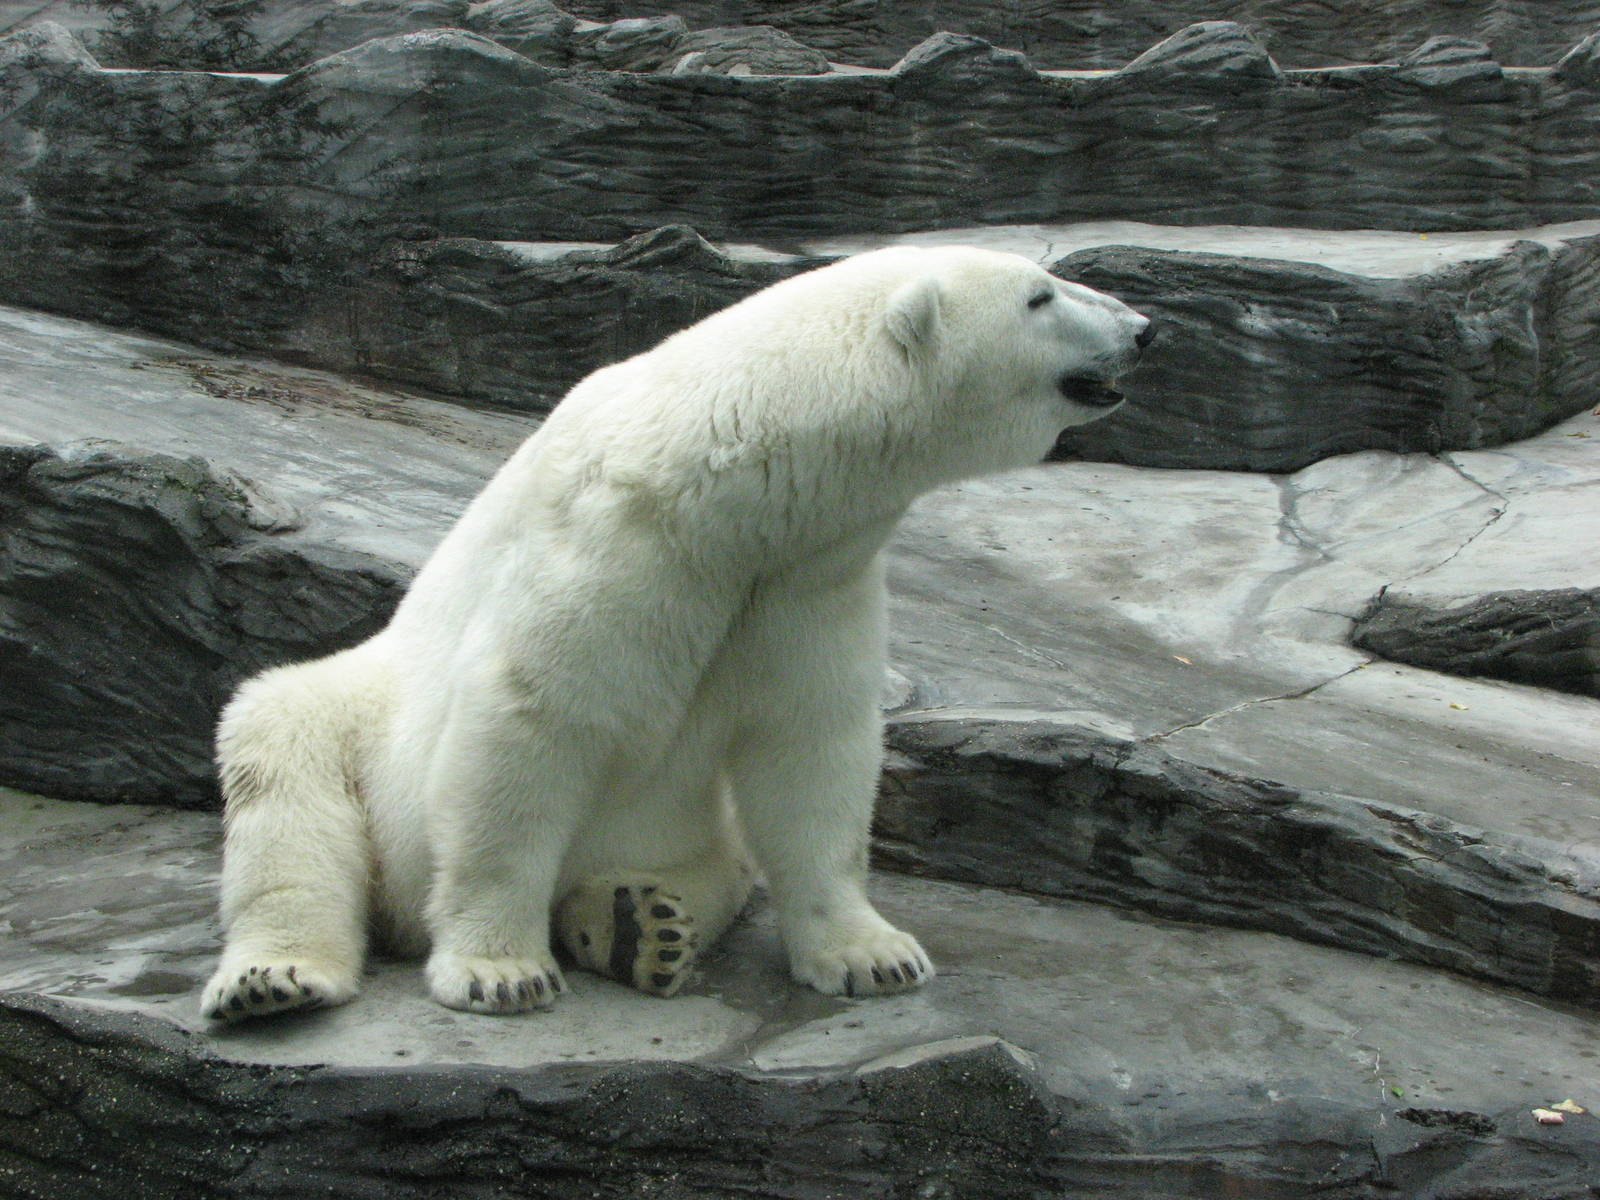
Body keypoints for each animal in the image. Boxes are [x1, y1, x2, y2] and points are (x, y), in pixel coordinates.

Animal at [200, 245, 1152, 1020]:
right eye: (1038, 295)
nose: (1143, 329)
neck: (731, 472)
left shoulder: (806, 577)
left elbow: (810, 747)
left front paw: (871, 955)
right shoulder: (619, 541)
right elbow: (529, 723)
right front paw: (499, 971)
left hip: (684, 831)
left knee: (706, 861)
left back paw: (637, 923)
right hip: (349, 724)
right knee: (285, 786)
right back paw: (274, 977)